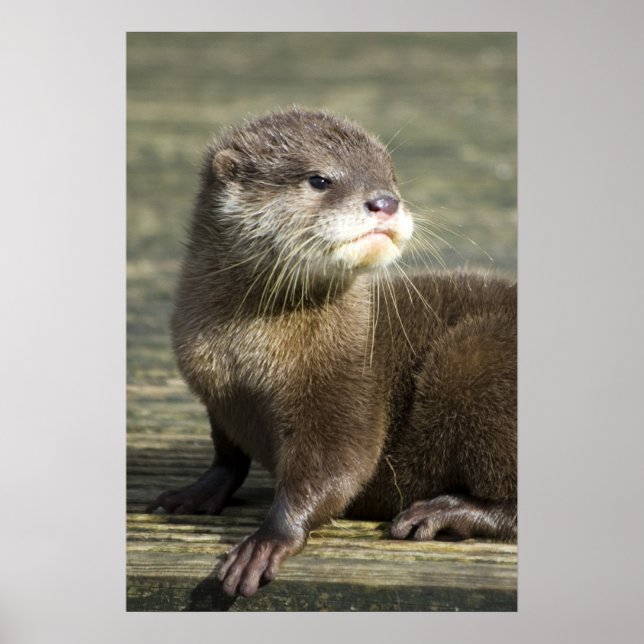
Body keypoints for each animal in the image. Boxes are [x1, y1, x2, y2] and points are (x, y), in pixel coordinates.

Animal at [147, 107, 517, 598]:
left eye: (391, 176)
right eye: (319, 179)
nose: (385, 201)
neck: (244, 358)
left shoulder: (346, 384)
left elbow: (336, 469)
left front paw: (266, 541)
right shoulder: (214, 395)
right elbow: (228, 455)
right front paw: (194, 493)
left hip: (472, 358)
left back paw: (442, 512)